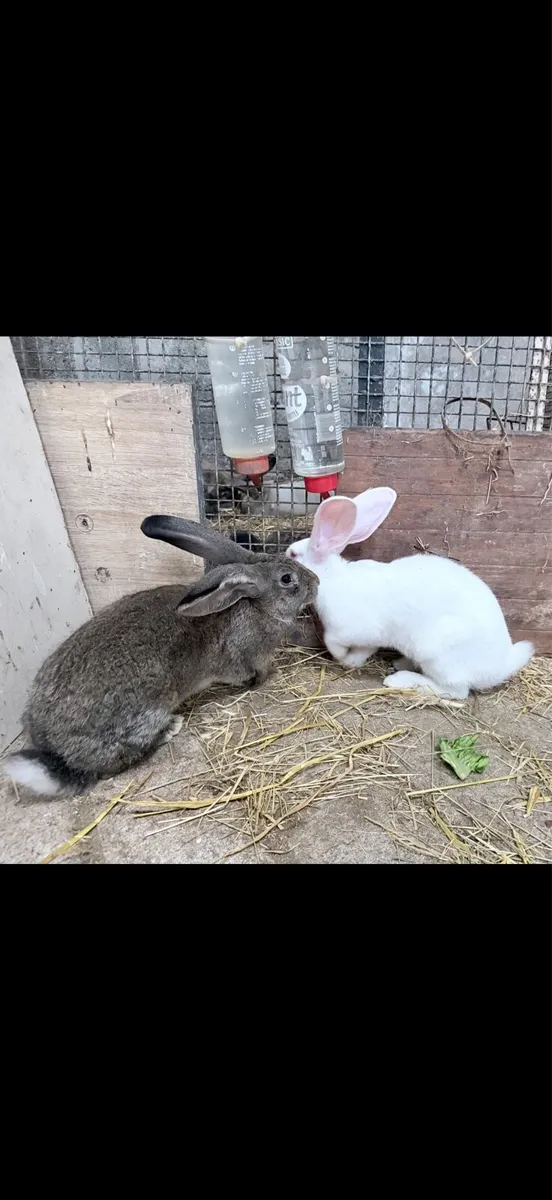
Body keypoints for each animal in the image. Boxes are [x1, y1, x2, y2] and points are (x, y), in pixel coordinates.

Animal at [3, 517, 318, 798]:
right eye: (287, 579)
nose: (315, 583)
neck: (255, 605)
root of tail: (58, 753)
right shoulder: (244, 656)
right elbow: (249, 672)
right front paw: (267, 677)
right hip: (147, 711)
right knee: (116, 763)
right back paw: (170, 728)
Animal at [286, 487, 533, 700]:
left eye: (293, 555)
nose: (284, 555)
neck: (332, 578)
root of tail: (498, 667)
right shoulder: (372, 639)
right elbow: (365, 651)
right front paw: (353, 662)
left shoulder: (350, 630)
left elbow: (332, 641)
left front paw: (343, 658)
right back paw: (401, 664)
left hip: (437, 654)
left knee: (456, 691)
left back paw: (401, 679)